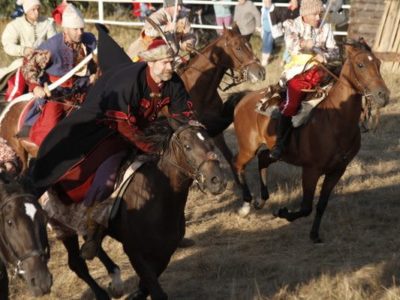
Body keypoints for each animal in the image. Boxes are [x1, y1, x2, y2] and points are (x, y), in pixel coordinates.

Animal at [233, 39, 390, 243]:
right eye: (360, 65)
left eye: (378, 63)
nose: (383, 95)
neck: (335, 120)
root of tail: (244, 98)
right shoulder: (311, 171)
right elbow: (306, 207)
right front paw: (283, 213)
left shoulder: (337, 171)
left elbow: (321, 204)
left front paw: (314, 234)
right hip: (248, 147)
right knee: (238, 165)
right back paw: (246, 205)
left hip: (276, 152)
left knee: (264, 158)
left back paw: (261, 200)